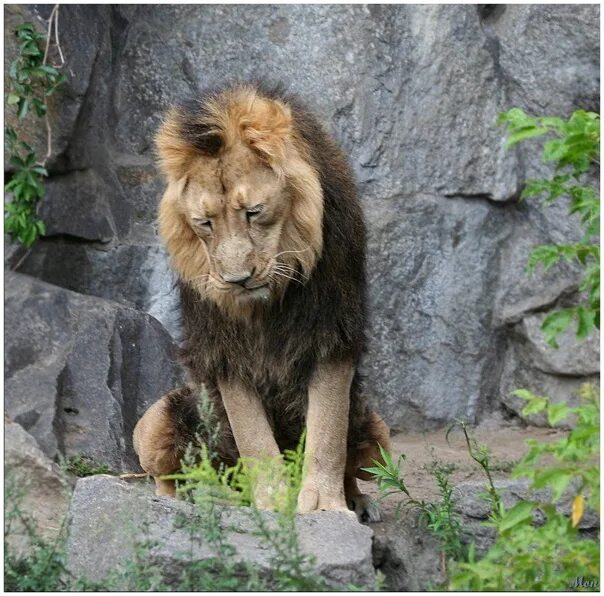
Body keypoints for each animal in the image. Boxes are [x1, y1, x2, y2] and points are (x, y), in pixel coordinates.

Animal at [131, 82, 392, 520]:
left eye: (253, 212)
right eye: (204, 223)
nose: (238, 279)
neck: (267, 305)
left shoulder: (332, 333)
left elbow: (328, 432)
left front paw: (325, 505)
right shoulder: (225, 353)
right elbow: (253, 439)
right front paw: (272, 503)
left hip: (378, 432)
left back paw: (358, 500)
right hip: (155, 420)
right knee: (167, 474)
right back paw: (194, 498)